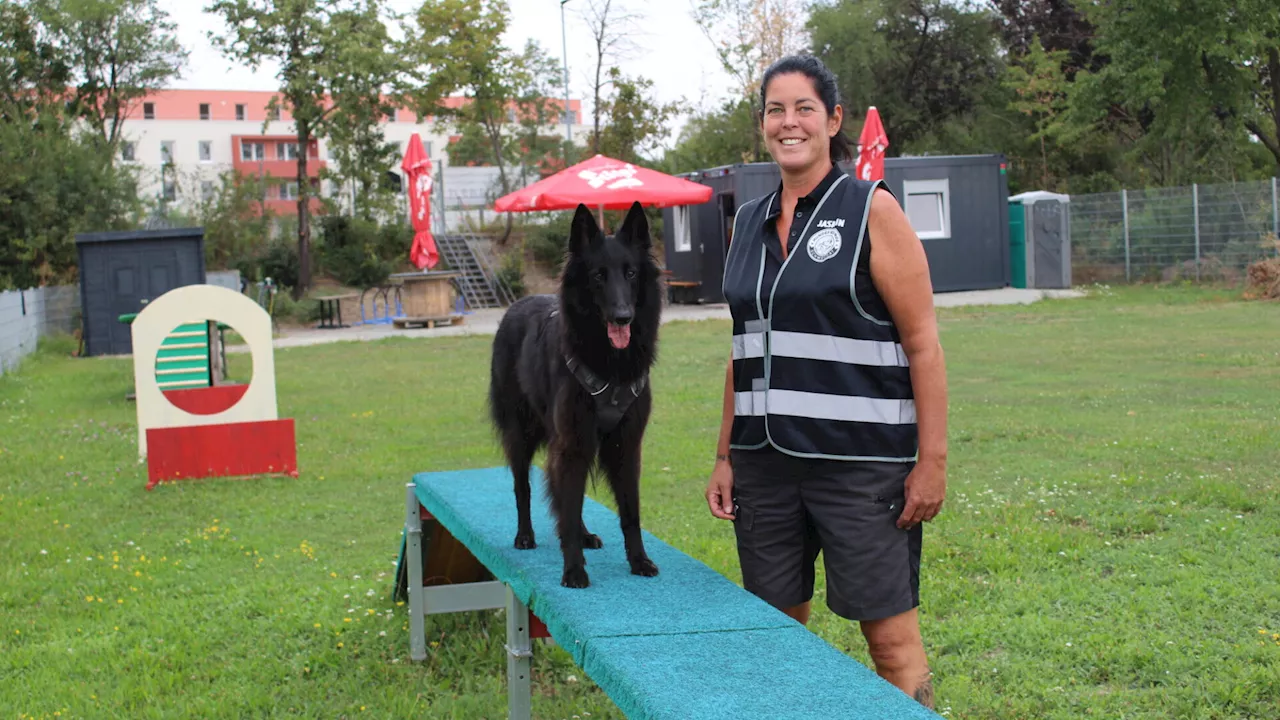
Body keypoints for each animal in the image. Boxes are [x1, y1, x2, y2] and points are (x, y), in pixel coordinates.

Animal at [488, 198, 665, 586]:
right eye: (598, 275)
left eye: (631, 274)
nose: (623, 317)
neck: (609, 362)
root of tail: (516, 305)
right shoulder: (571, 442)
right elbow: (565, 508)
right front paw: (573, 569)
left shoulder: (624, 445)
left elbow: (629, 511)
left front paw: (639, 560)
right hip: (521, 434)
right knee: (523, 488)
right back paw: (526, 535)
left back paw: (584, 535)